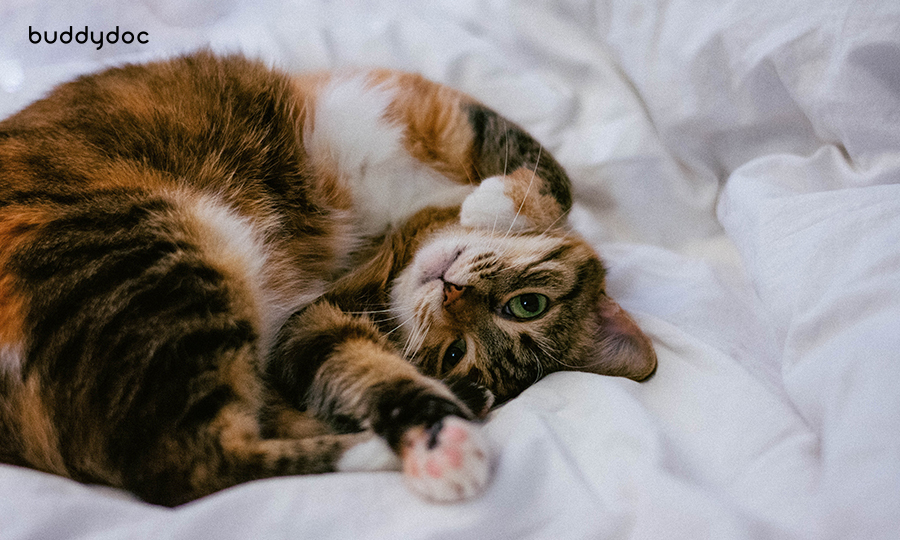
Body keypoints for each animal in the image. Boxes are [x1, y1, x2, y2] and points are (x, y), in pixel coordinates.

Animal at [1, 50, 660, 506]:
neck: (413, 219)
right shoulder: (435, 109)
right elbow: (553, 172)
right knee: (184, 468)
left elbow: (358, 367)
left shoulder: (312, 318)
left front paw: (437, 434)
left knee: (190, 465)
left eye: (453, 353)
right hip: (155, 253)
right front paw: (497, 203)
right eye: (527, 306)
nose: (454, 291)